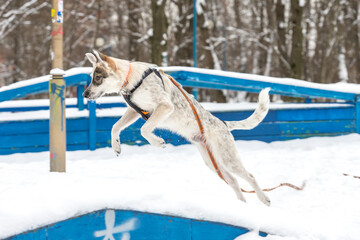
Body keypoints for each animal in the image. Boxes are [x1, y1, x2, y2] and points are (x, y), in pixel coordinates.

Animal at [83, 49, 270, 205]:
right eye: (92, 77)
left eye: (97, 78)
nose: (85, 94)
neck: (132, 79)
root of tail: (223, 124)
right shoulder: (134, 110)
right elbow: (115, 126)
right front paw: (116, 146)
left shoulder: (165, 106)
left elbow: (144, 129)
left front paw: (158, 142)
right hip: (212, 162)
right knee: (234, 181)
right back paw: (242, 206)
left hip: (227, 159)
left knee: (250, 176)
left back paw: (264, 199)